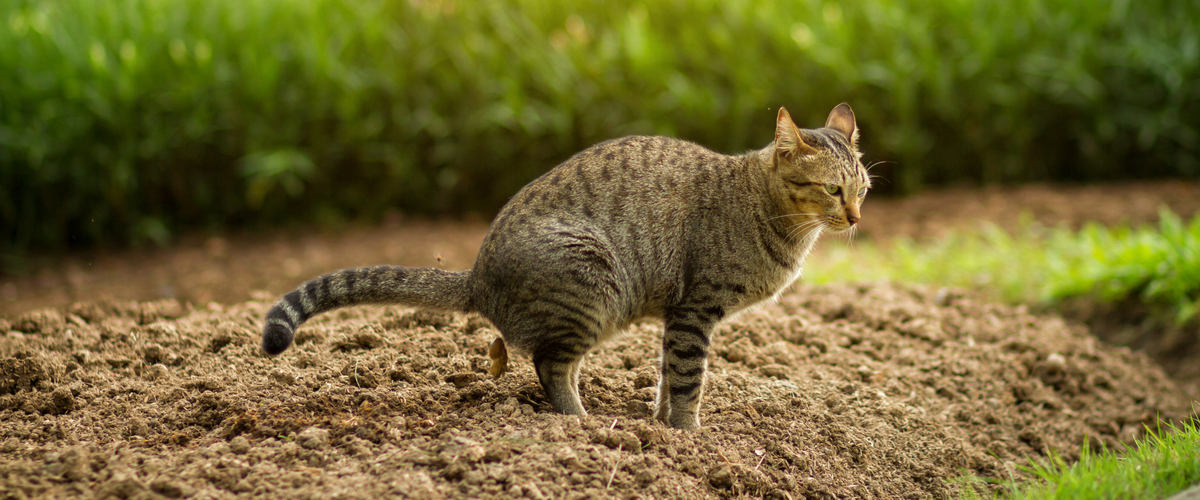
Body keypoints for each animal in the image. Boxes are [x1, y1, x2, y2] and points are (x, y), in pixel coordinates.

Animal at [262, 102, 868, 429]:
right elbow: (688, 379)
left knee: (560, 363)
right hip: (592, 284)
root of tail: (477, 275)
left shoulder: (678, 317)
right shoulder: (695, 311)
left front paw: (660, 425)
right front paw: (688, 436)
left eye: (862, 188)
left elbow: (666, 375)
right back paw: (580, 425)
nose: (857, 217)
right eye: (832, 190)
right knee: (550, 365)